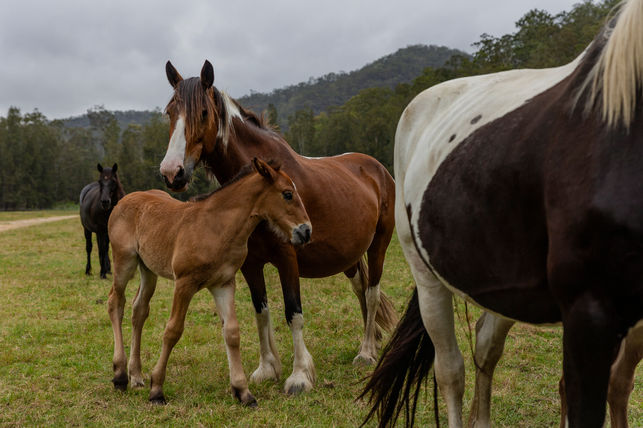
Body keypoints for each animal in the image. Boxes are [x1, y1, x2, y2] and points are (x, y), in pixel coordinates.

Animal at [107, 158, 311, 406]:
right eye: (288, 194)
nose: (306, 231)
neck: (216, 227)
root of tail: (124, 200)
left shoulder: (223, 284)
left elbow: (231, 333)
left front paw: (243, 391)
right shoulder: (184, 284)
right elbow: (173, 330)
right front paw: (157, 389)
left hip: (148, 270)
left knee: (139, 310)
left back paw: (135, 376)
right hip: (124, 262)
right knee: (116, 303)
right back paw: (120, 376)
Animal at [158, 59, 398, 394]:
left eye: (203, 113)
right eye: (169, 112)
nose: (172, 172)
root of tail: (376, 168)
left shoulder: (288, 257)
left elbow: (292, 312)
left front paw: (299, 376)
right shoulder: (250, 264)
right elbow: (261, 312)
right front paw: (267, 368)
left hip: (379, 245)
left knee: (372, 292)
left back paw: (365, 353)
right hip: (349, 256)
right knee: (361, 289)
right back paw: (371, 341)